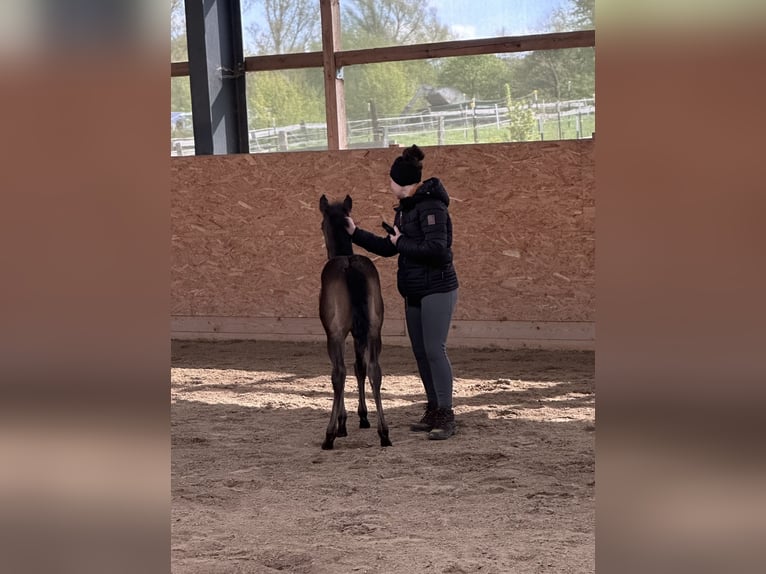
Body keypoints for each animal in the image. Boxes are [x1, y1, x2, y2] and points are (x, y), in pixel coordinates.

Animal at [318, 194, 392, 450]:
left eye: (321, 225)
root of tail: (350, 266)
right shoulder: (362, 333)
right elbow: (360, 368)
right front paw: (363, 417)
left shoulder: (335, 333)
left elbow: (342, 371)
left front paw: (343, 424)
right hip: (374, 331)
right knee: (375, 370)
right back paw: (384, 433)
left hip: (336, 334)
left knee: (338, 373)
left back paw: (329, 435)